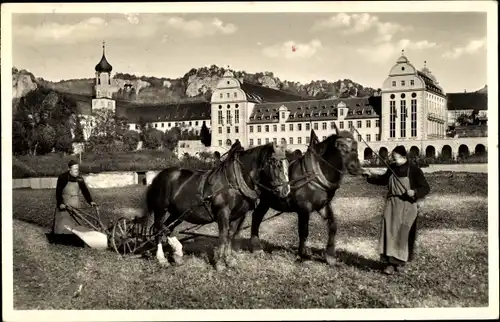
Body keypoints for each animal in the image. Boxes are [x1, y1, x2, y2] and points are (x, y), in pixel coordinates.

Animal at [140, 142, 290, 270]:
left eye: (287, 164)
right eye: (277, 164)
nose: (286, 191)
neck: (234, 181)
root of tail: (158, 176)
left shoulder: (238, 215)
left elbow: (230, 235)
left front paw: (229, 260)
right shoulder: (222, 212)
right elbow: (223, 236)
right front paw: (219, 263)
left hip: (178, 213)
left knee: (167, 227)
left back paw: (177, 254)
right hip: (161, 209)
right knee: (158, 228)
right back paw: (162, 258)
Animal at [232, 127, 362, 266]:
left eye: (356, 144)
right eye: (341, 145)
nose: (355, 166)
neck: (314, 174)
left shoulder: (323, 205)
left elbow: (333, 225)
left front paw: (330, 255)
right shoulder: (304, 209)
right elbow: (303, 232)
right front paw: (302, 256)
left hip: (265, 201)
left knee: (256, 217)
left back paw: (255, 247)